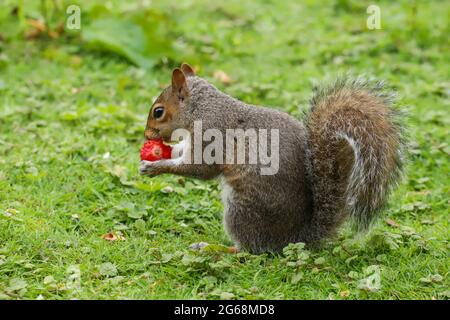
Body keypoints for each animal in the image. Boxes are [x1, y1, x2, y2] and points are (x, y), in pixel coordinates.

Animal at [139, 63, 406, 252]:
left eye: (158, 112)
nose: (147, 135)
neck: (201, 108)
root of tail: (296, 238)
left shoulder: (211, 136)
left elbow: (199, 168)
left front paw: (157, 167)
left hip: (241, 210)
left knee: (248, 250)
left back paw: (212, 248)